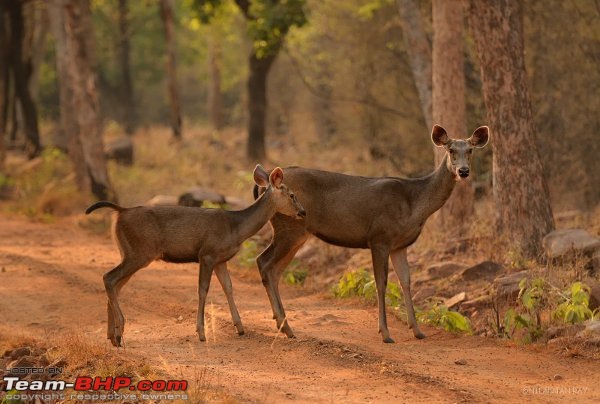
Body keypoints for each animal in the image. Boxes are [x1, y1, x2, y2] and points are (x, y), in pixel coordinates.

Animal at [85, 165, 304, 348]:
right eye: (292, 195)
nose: (303, 211)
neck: (236, 228)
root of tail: (121, 211)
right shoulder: (207, 254)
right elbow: (203, 290)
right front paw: (201, 333)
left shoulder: (221, 260)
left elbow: (228, 288)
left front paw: (240, 328)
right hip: (139, 252)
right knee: (109, 278)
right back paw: (120, 332)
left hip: (129, 252)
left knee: (114, 284)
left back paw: (112, 336)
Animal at [255, 124, 490, 342]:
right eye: (451, 150)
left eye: (470, 150)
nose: (463, 171)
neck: (415, 204)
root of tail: (266, 181)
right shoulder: (379, 237)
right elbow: (381, 283)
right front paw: (385, 333)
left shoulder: (400, 245)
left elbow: (406, 282)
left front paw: (417, 330)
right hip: (289, 228)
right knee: (264, 262)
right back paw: (285, 327)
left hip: (296, 234)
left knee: (274, 270)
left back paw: (283, 325)